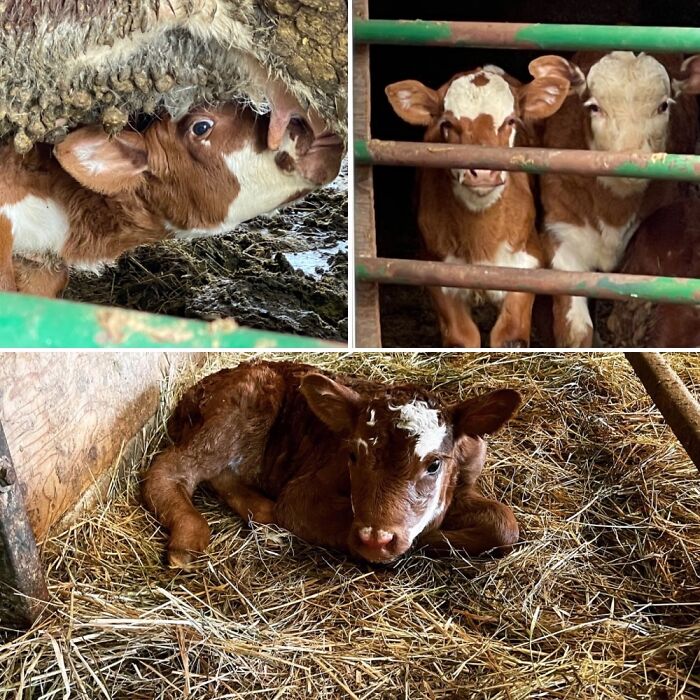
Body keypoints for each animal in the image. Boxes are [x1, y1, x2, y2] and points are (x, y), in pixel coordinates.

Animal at [142, 360, 521, 568]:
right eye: (353, 455)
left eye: (434, 465)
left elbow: (504, 523)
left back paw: (262, 513)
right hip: (240, 404)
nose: (376, 539)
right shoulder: (302, 493)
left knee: (223, 475)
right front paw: (427, 537)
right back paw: (188, 539)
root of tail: (190, 394)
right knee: (172, 467)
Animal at [384, 58, 574, 347]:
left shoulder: (527, 263)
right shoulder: (435, 270)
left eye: (511, 121)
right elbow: (461, 339)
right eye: (447, 124)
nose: (483, 172)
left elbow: (510, 337)